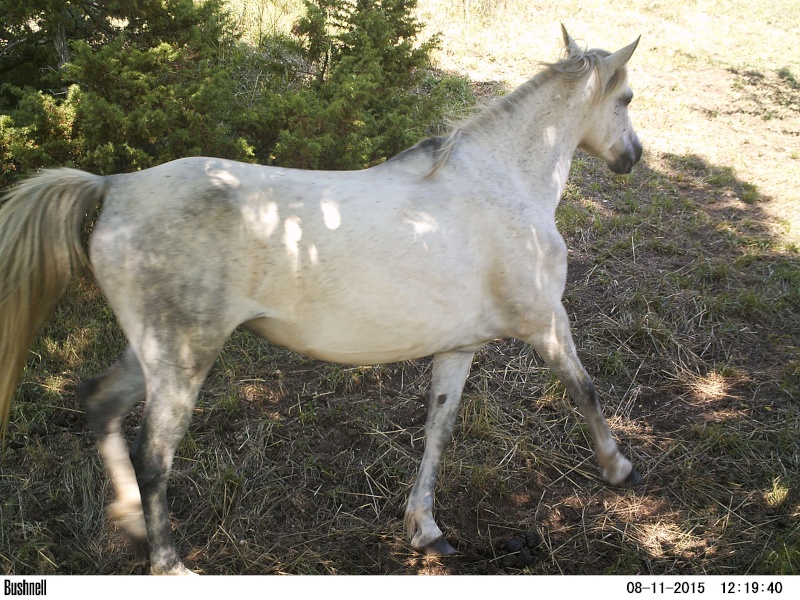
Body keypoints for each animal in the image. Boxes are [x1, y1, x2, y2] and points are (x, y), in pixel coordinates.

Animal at [0, 25, 640, 576]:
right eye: (628, 97)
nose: (632, 156)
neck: (503, 182)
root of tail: (116, 186)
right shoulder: (545, 323)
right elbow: (585, 389)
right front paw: (619, 469)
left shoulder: (459, 348)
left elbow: (438, 429)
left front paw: (426, 529)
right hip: (183, 360)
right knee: (153, 457)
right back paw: (170, 564)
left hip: (152, 354)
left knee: (100, 403)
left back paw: (131, 524)